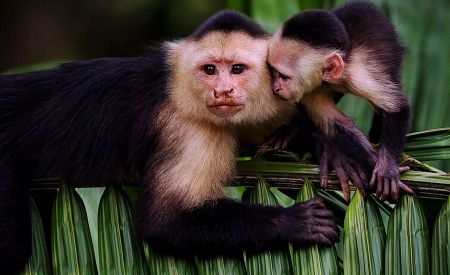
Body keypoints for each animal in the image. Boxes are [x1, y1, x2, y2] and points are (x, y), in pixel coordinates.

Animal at [0, 9, 338, 272]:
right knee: (14, 251)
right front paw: (292, 222)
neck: (179, 87)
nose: (222, 91)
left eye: (237, 69)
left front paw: (325, 146)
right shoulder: (192, 128)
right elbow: (163, 221)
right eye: (210, 69)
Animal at [266, 1, 414, 202]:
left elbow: (397, 107)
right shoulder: (311, 90)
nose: (275, 88)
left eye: (283, 76)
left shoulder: (359, 75)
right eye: (272, 72)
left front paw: (387, 167)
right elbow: (338, 124)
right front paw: (367, 161)